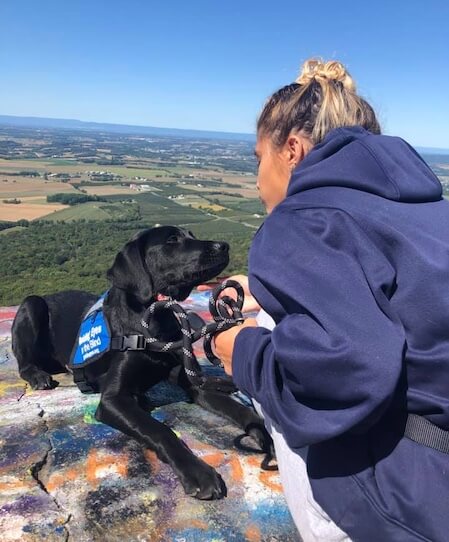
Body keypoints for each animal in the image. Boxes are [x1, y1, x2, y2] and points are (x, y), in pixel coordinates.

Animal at [11, 226, 270, 502]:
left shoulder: (193, 381)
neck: (157, 320)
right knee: (24, 360)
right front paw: (197, 471)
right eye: (172, 240)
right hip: (32, 304)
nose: (224, 246)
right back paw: (38, 376)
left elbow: (241, 410)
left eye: (191, 234)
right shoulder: (113, 400)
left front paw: (267, 435)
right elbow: (160, 430)